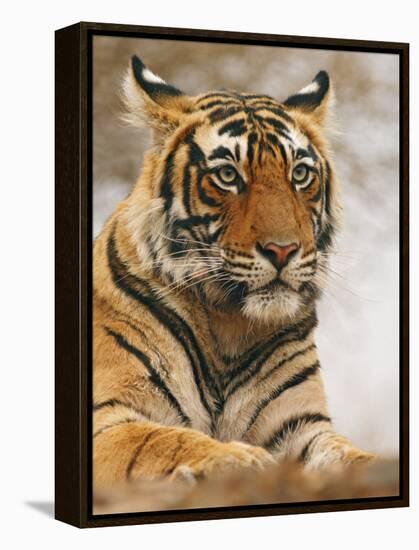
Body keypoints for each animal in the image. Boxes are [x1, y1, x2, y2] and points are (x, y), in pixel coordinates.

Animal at [92, 54, 374, 490]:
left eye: (300, 174)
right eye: (228, 176)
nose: (283, 250)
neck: (228, 325)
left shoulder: (301, 425)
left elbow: (349, 455)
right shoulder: (107, 416)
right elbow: (161, 440)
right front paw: (238, 458)